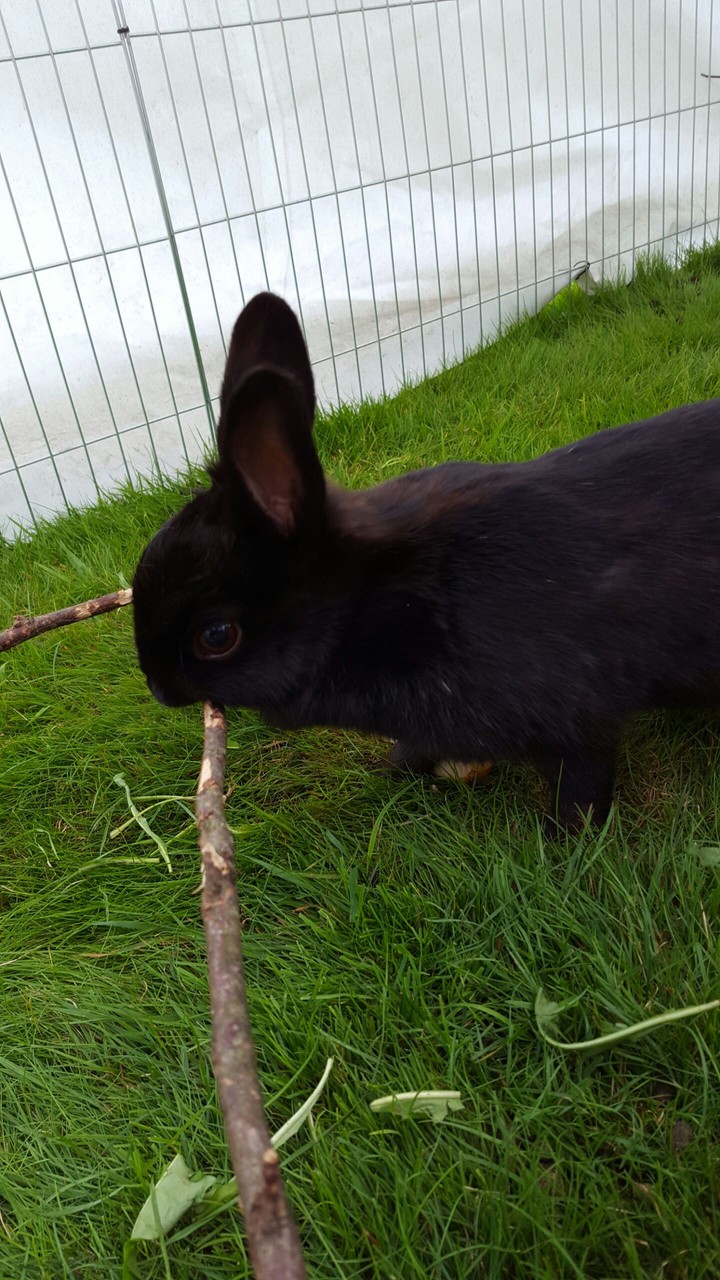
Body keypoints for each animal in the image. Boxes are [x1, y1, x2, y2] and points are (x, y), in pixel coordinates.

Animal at [132, 291, 720, 831]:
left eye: (217, 637)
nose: (159, 691)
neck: (372, 600)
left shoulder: (577, 720)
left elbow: (582, 786)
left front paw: (569, 842)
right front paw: (396, 771)